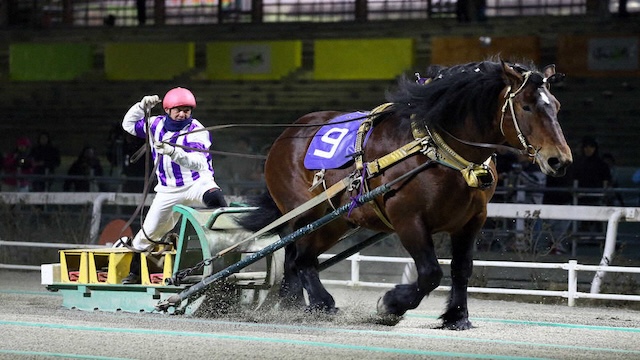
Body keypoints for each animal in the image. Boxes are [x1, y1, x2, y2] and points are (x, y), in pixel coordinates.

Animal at [238, 59, 572, 330]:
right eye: (526, 106)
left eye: (556, 105)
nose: (560, 160)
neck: (438, 150)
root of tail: (289, 132)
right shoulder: (407, 218)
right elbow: (430, 272)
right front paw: (391, 305)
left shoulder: (472, 220)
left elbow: (461, 269)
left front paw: (457, 317)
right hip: (305, 213)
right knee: (296, 257)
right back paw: (309, 303)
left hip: (337, 220)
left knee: (302, 260)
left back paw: (305, 304)